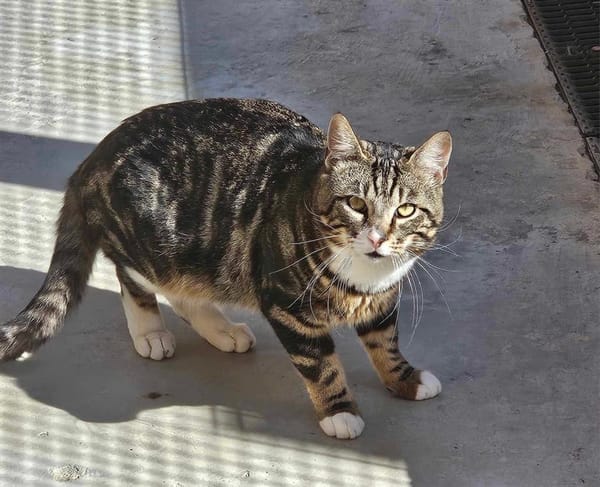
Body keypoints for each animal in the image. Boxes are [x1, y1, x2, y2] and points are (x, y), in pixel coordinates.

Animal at [0, 98, 452, 439]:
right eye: (356, 204)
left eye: (405, 210)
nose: (376, 239)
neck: (363, 276)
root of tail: (95, 155)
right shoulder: (287, 305)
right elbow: (321, 365)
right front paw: (340, 412)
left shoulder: (383, 300)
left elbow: (385, 341)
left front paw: (405, 378)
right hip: (156, 244)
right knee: (134, 279)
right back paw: (151, 332)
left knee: (187, 292)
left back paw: (222, 331)